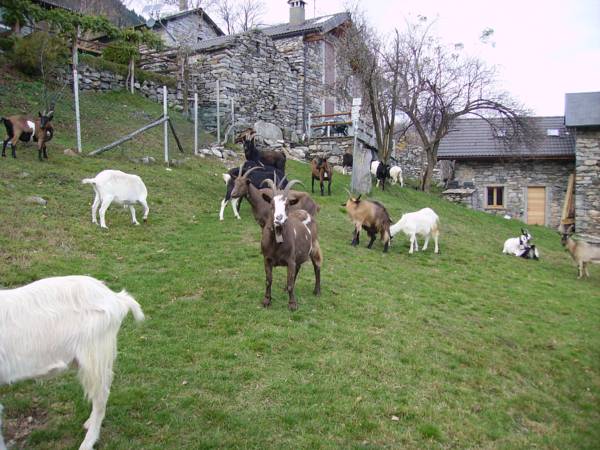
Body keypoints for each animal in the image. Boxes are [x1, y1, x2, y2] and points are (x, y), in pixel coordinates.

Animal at [260, 179, 322, 311]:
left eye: (287, 205)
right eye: (271, 204)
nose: (278, 218)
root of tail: (305, 212)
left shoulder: (290, 260)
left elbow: (290, 284)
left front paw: (292, 304)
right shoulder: (267, 258)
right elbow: (269, 280)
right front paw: (266, 300)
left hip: (314, 246)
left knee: (317, 266)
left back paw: (317, 291)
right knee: (298, 268)